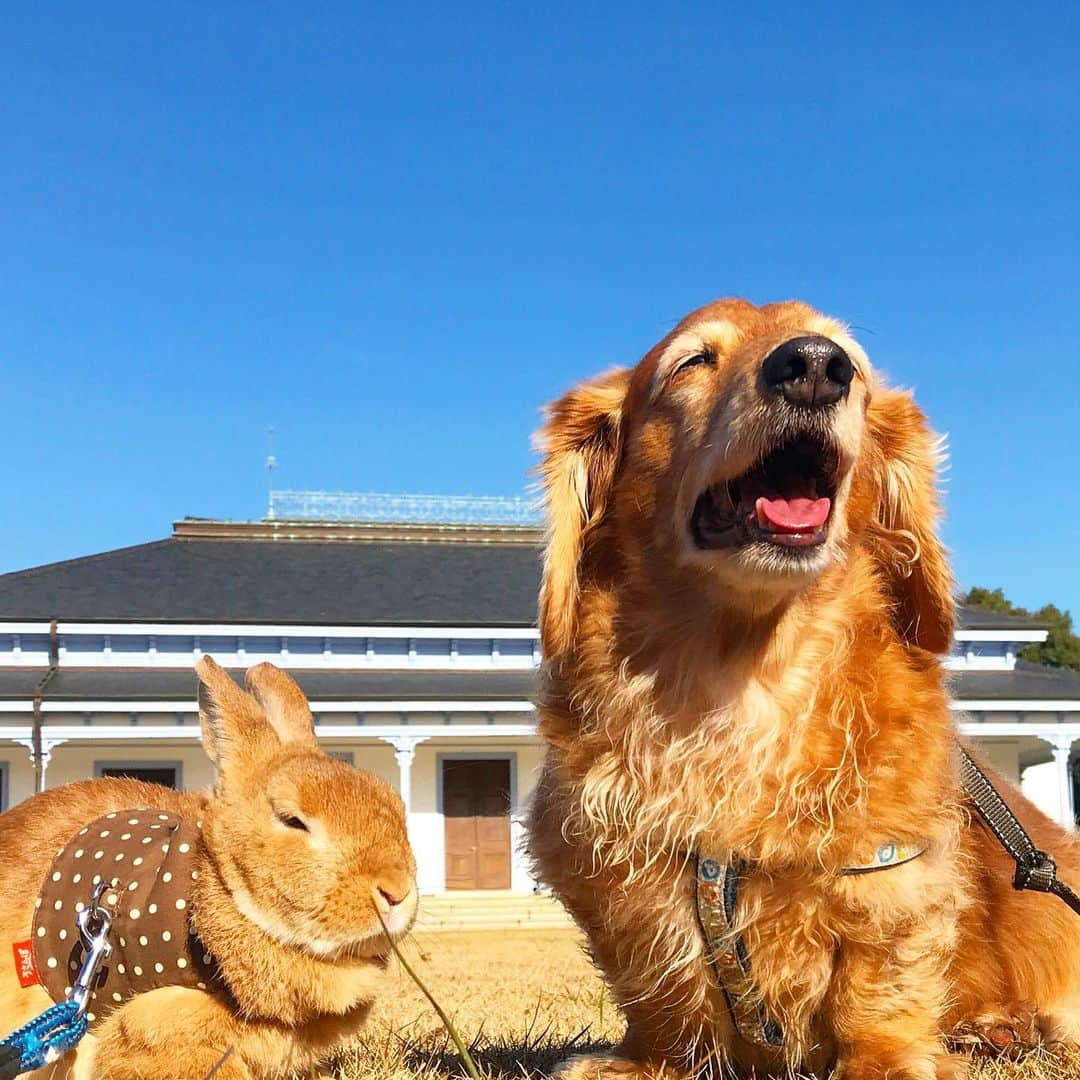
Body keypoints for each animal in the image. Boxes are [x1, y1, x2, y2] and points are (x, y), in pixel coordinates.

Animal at [527, 298, 1080, 1080]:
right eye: (692, 362)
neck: (741, 680)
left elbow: (878, 984)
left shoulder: (893, 872)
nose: (816, 366)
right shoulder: (617, 879)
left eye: (854, 363)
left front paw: (889, 1059)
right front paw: (648, 1061)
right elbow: (660, 991)